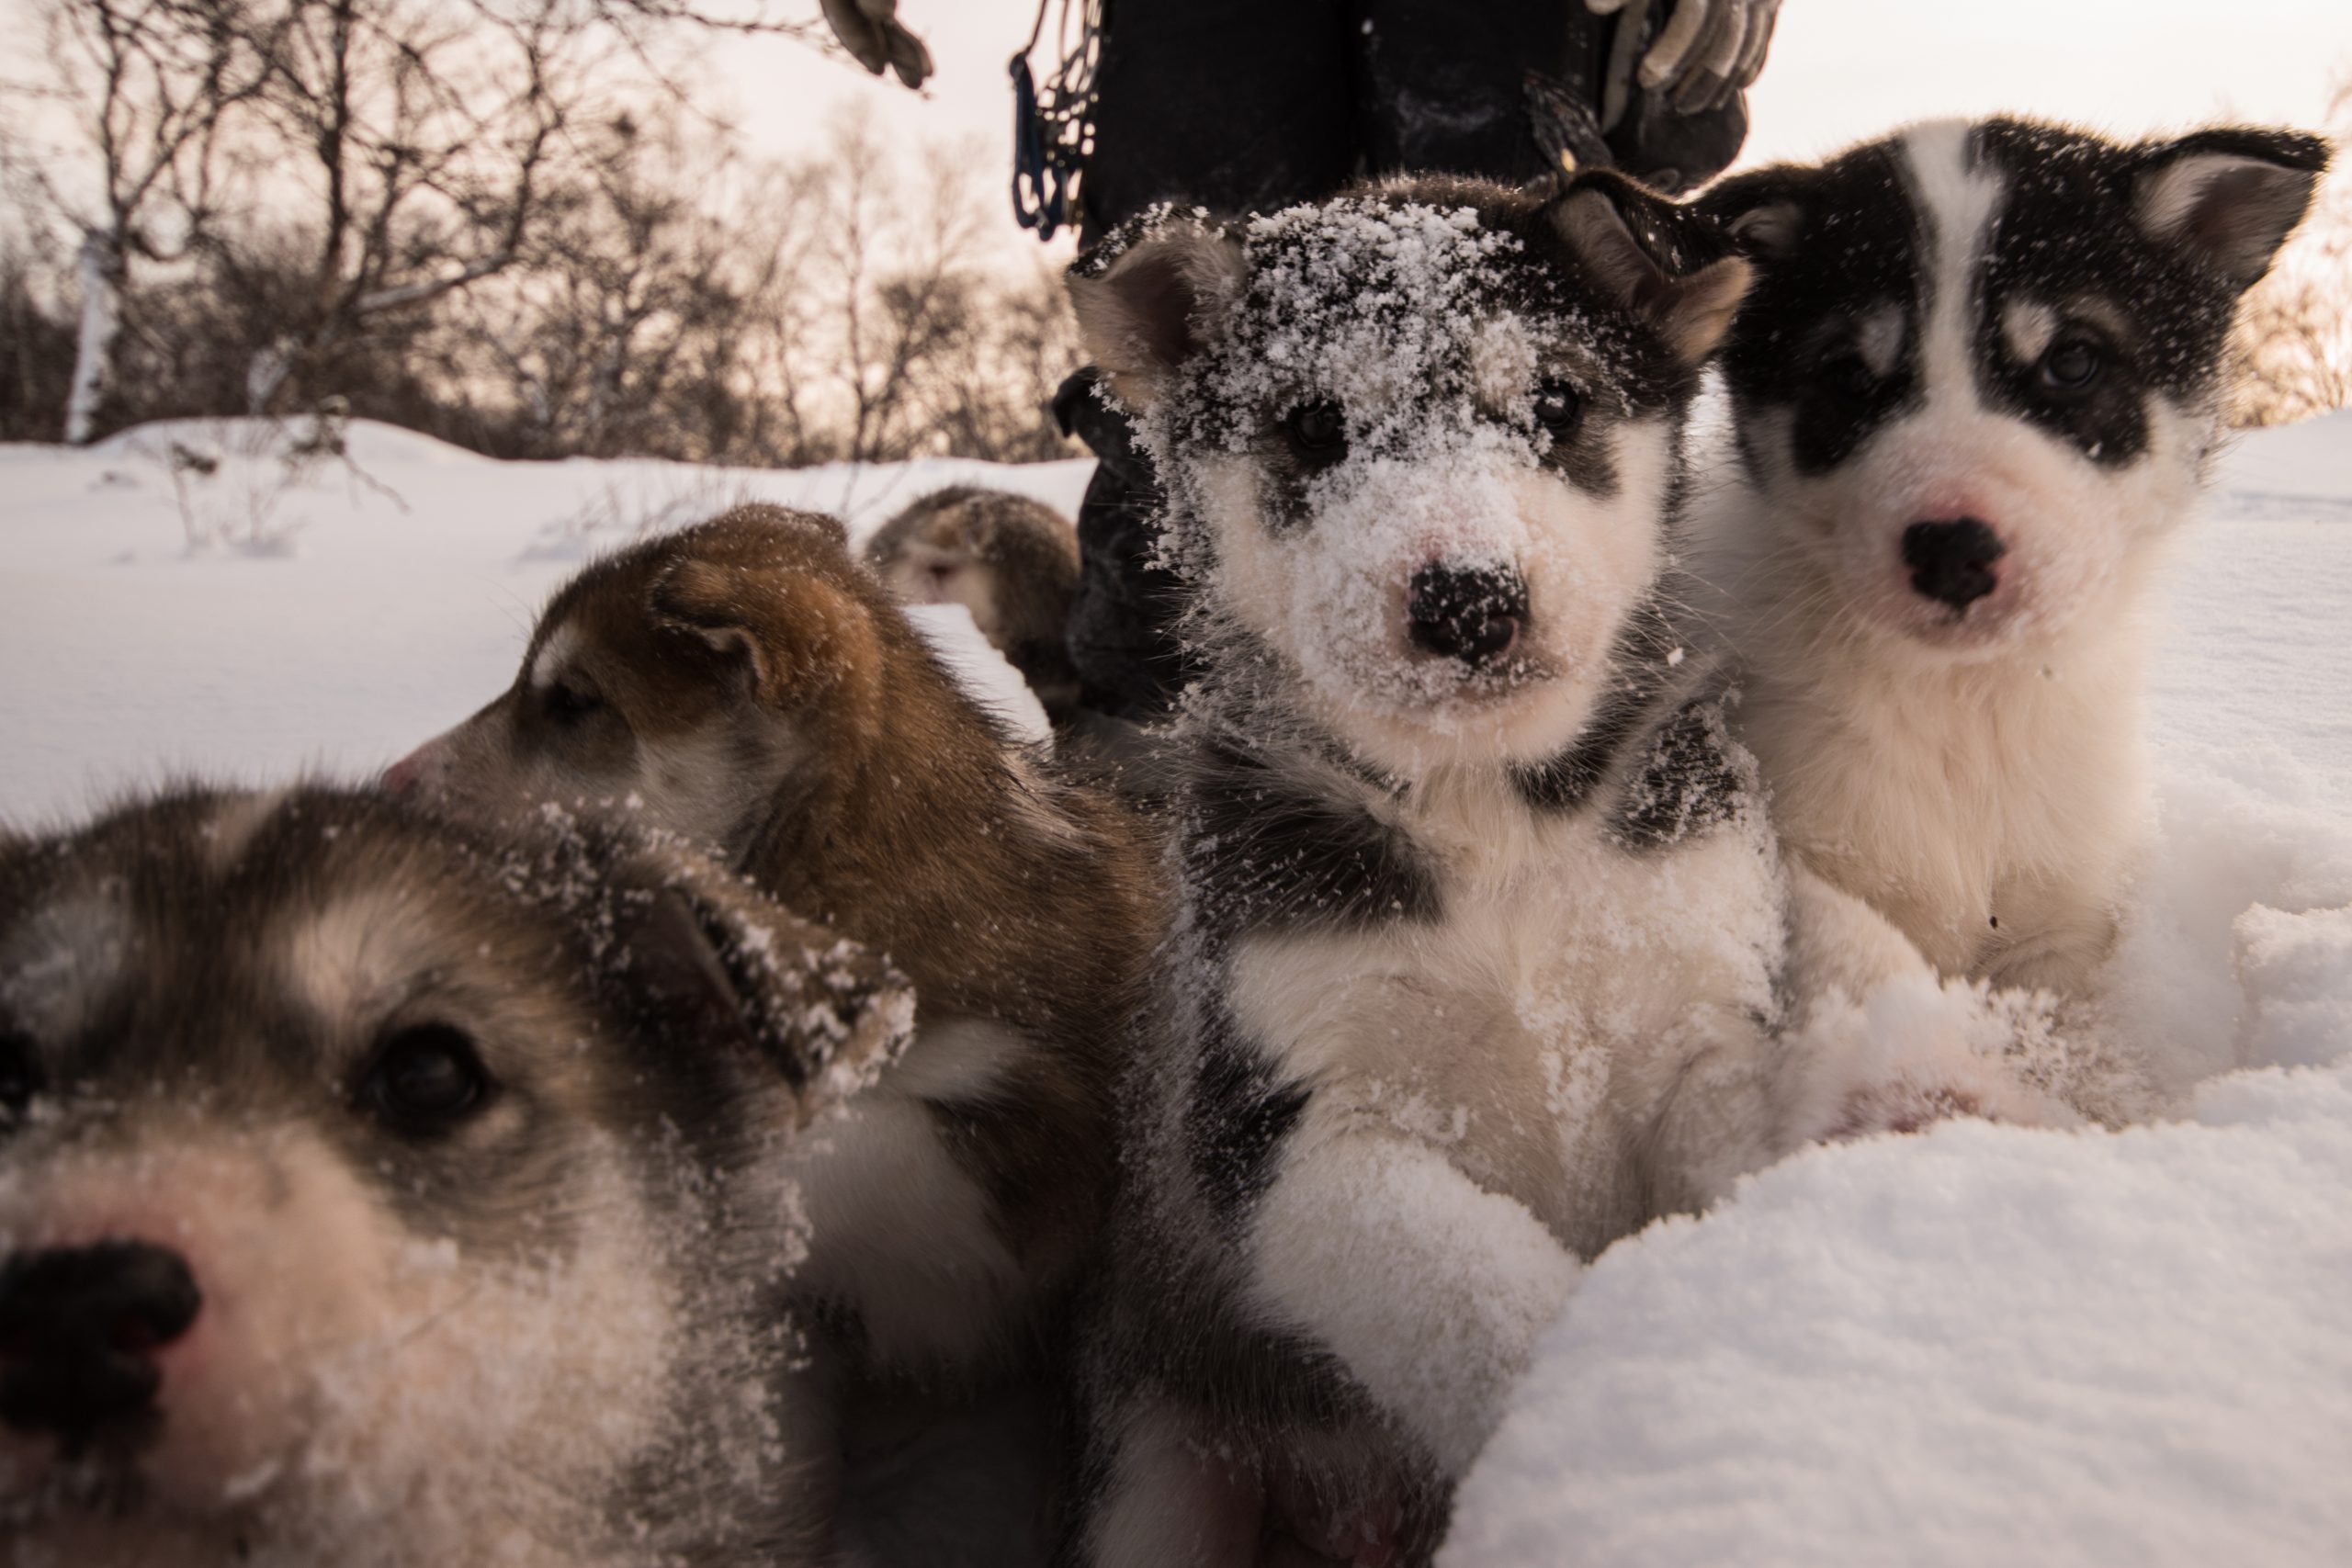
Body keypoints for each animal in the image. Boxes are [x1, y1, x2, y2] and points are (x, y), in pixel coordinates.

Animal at [1063, 175, 2022, 1568]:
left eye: (1559, 404)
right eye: (1311, 425)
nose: (1467, 600)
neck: (1496, 825)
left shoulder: (1702, 1027)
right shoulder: (1288, 1134)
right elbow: (1479, 1292)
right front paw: (1593, 1410)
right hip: (1155, 1463)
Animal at [1693, 122, 2333, 1006]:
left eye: (2072, 361)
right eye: (1849, 376)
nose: (1952, 551)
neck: (1971, 708)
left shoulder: (2065, 916)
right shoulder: (1810, 855)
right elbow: (1873, 978)